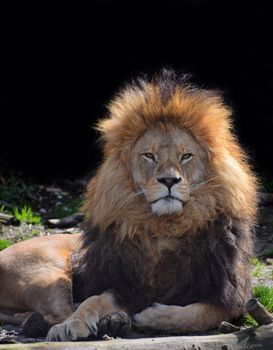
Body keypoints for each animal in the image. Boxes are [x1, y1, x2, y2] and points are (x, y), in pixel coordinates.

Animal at [0, 69, 258, 340]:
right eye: (149, 156)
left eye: (186, 156)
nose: (169, 180)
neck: (165, 227)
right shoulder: (126, 286)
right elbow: (92, 301)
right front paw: (73, 325)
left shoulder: (231, 299)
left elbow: (194, 315)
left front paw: (150, 316)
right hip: (48, 275)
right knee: (58, 312)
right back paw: (110, 322)